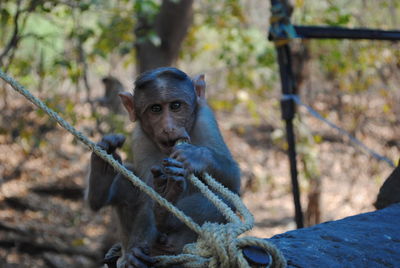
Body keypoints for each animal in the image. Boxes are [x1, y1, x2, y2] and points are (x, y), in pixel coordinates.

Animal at [86, 67, 241, 268]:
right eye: (155, 109)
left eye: (175, 106)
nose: (168, 128)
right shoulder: (140, 138)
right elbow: (147, 195)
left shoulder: (206, 121)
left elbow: (233, 182)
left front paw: (196, 156)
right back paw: (103, 172)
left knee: (225, 199)